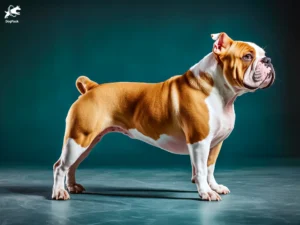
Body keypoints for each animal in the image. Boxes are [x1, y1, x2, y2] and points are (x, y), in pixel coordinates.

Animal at [51, 32, 274, 201]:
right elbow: (201, 170)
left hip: (87, 141)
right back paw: (60, 192)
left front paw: (214, 187)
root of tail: (91, 88)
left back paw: (72, 186)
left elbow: (209, 168)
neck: (220, 91)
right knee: (60, 166)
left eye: (264, 54)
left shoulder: (215, 143)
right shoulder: (199, 141)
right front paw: (206, 193)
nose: (268, 60)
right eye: (247, 57)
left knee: (72, 165)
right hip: (78, 139)